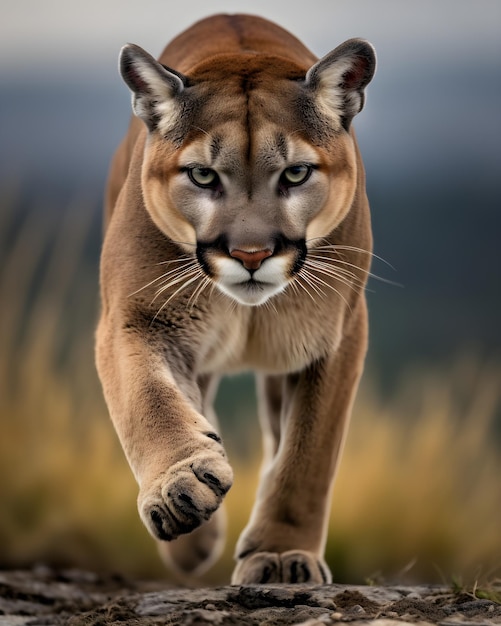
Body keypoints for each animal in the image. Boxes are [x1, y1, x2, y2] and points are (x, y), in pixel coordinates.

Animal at [95, 12, 376, 584]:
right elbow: (147, 398)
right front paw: (179, 487)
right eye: (203, 175)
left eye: (296, 173)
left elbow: (309, 453)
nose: (251, 254)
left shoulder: (337, 334)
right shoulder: (132, 317)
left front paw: (283, 555)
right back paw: (195, 536)